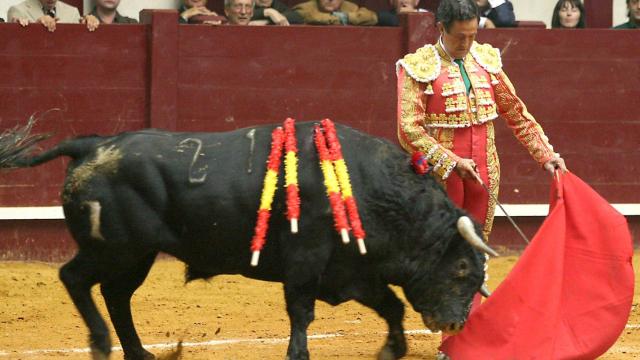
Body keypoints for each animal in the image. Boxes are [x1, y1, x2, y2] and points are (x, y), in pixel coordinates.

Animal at [1, 121, 496, 360]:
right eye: (461, 269)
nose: (455, 325)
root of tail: (91, 145)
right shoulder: (307, 262)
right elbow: (301, 312)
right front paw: (298, 355)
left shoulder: (351, 270)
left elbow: (391, 306)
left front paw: (392, 349)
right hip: (115, 248)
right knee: (76, 279)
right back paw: (102, 344)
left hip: (136, 255)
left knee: (115, 295)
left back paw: (139, 353)